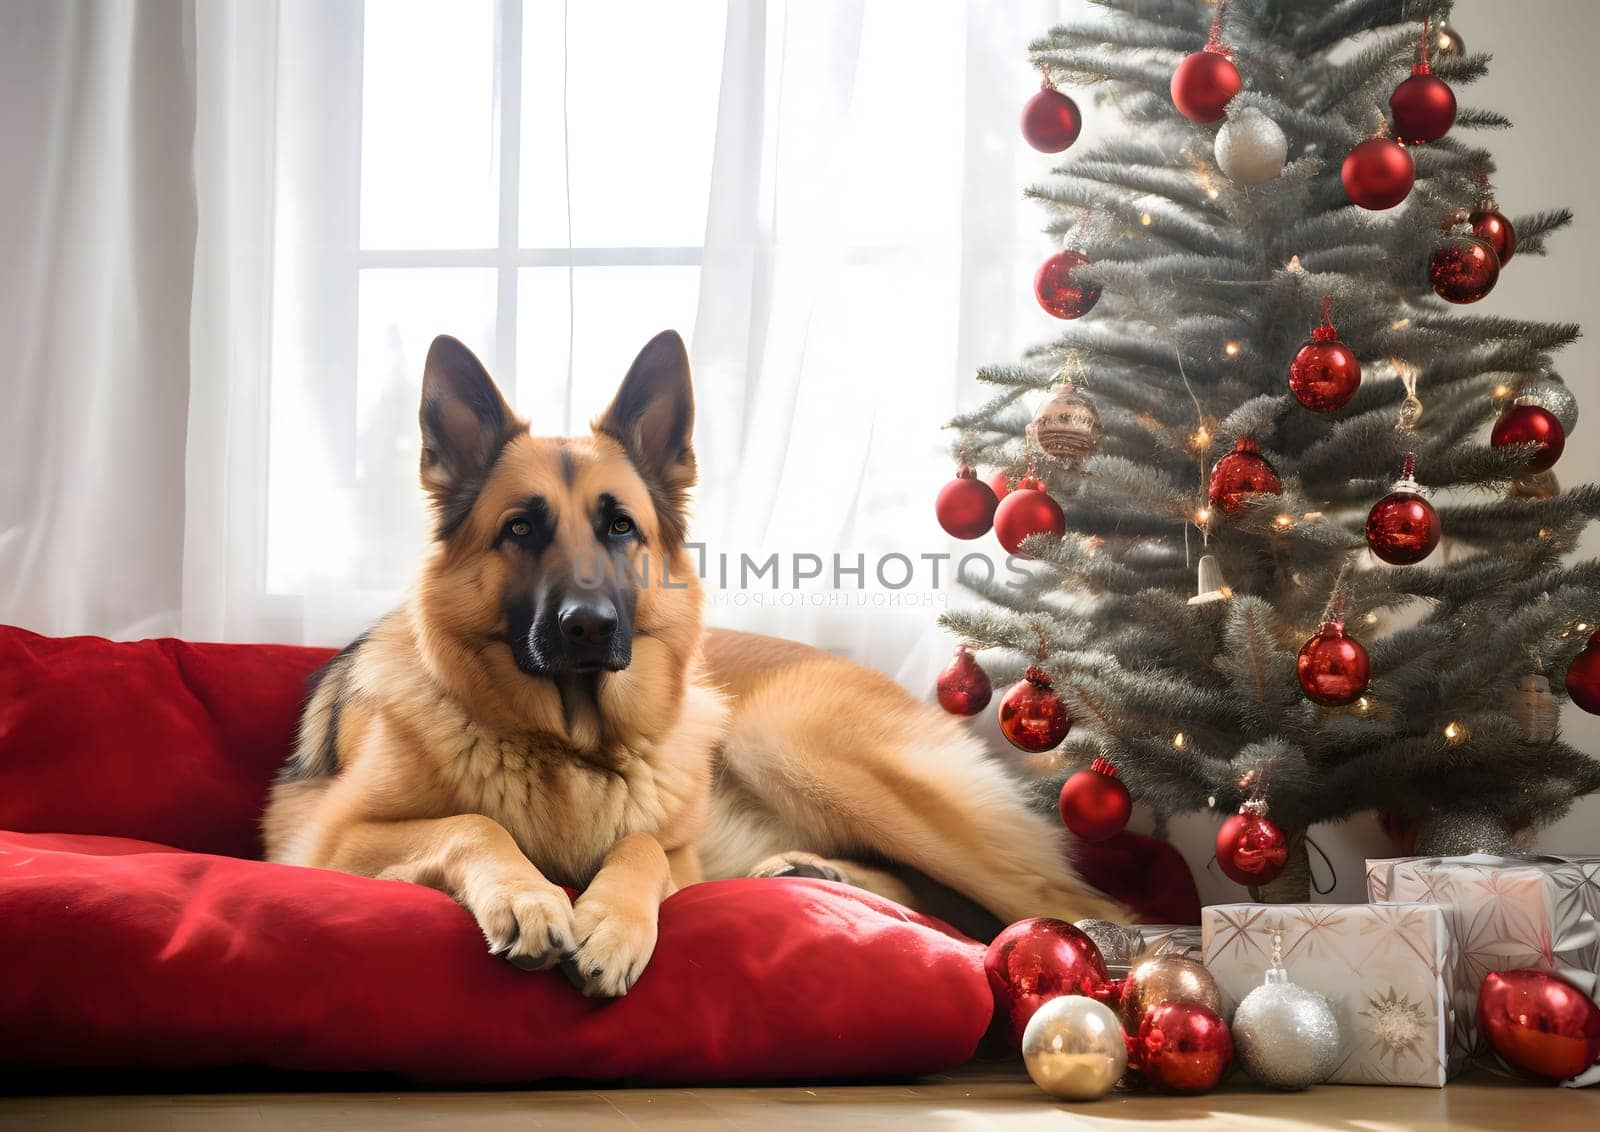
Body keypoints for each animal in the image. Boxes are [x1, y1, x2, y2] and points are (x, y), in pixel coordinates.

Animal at [262, 330, 1120, 997]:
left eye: (620, 527)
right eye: (519, 529)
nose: (588, 627)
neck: (571, 746)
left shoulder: (677, 849)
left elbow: (642, 842)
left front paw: (611, 923)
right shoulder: (326, 842)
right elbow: (475, 820)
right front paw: (530, 896)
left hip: (783, 739)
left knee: (1075, 900)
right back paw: (815, 876)